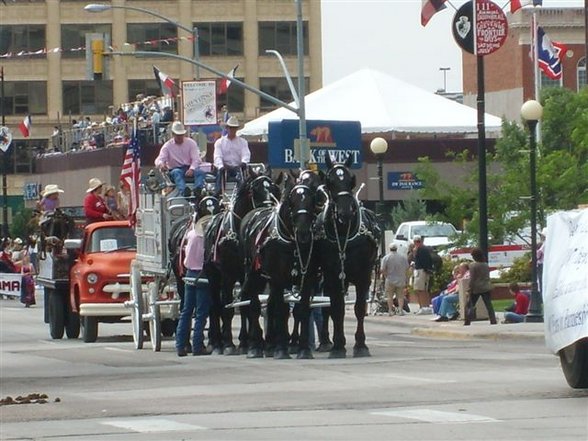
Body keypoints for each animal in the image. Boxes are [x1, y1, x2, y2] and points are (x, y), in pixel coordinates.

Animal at [204, 167, 282, 356]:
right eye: (255, 190)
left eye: (275, 189)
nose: (267, 211)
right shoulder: (228, 275)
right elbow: (228, 307)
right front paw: (228, 343)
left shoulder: (255, 275)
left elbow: (250, 305)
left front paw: (252, 341)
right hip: (213, 276)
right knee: (215, 305)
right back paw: (215, 342)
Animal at [241, 174, 320, 358]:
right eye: (292, 200)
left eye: (312, 199)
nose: (303, 232)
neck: (290, 241)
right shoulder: (278, 278)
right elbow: (281, 311)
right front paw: (281, 349)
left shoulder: (307, 278)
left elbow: (301, 310)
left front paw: (303, 349)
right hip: (253, 275)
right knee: (254, 305)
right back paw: (255, 345)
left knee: (268, 305)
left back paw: (269, 343)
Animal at [316, 153, 382, 356]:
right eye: (329, 181)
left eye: (351, 180)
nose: (345, 212)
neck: (344, 233)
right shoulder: (332, 274)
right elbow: (336, 308)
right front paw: (338, 345)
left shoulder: (364, 274)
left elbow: (360, 308)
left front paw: (360, 345)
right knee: (327, 308)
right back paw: (325, 341)